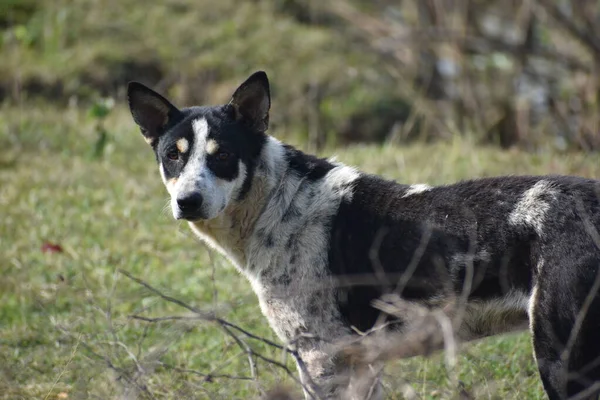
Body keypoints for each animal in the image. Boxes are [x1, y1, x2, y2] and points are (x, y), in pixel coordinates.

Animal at [127, 72, 600, 400]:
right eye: (173, 156)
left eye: (222, 155)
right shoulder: (363, 362)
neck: (277, 203)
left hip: (562, 360)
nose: (187, 201)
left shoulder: (321, 358)